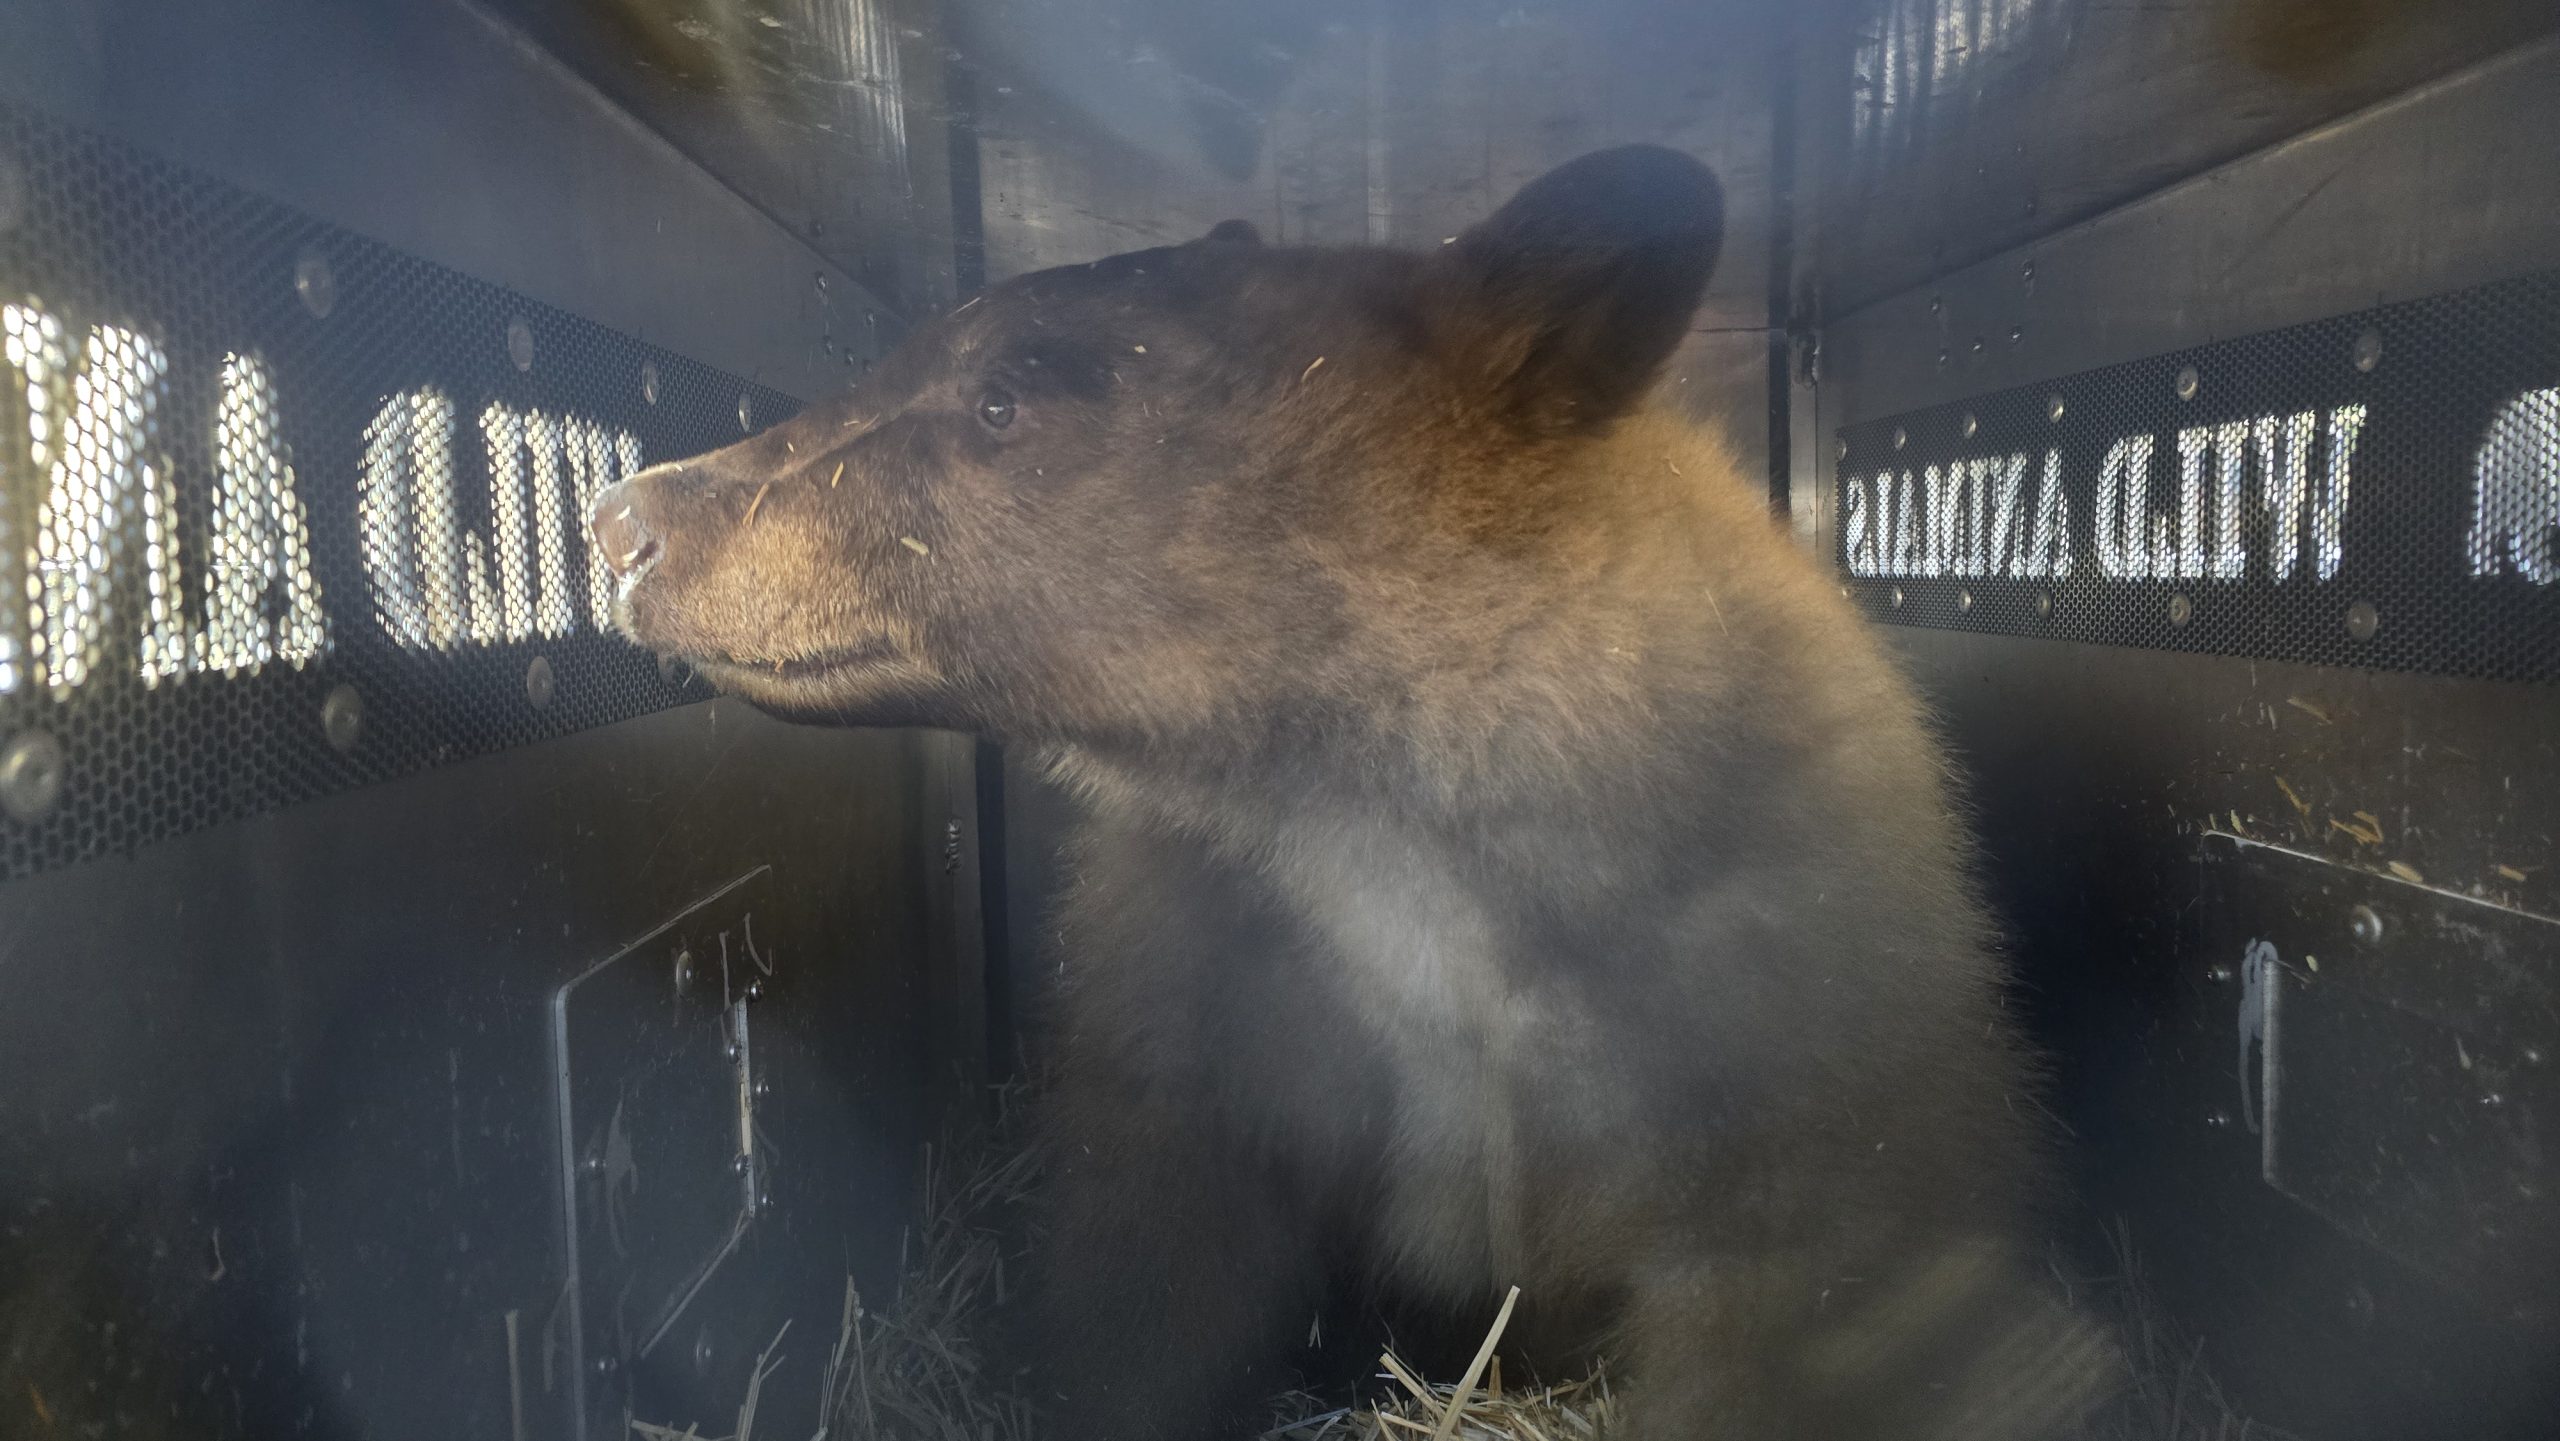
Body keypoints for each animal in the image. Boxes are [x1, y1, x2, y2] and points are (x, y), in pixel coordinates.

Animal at [590, 145, 2111, 1440]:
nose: (624, 520)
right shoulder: (1215, 967)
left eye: (1006, 395)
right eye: (916, 350)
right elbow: (1155, 1267)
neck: (1375, 819)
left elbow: (1818, 1313)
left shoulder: (1776, 992)